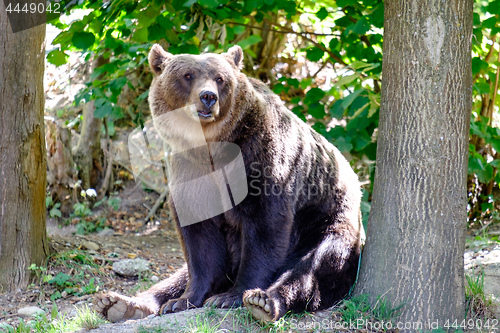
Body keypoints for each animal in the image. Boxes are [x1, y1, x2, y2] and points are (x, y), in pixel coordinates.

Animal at [94, 43, 362, 322]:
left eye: (220, 78)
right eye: (188, 75)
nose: (208, 96)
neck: (212, 149)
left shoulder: (259, 158)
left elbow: (265, 226)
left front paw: (230, 296)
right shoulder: (191, 171)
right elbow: (199, 242)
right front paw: (183, 300)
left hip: (328, 224)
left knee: (313, 266)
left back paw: (265, 301)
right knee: (175, 277)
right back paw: (119, 303)